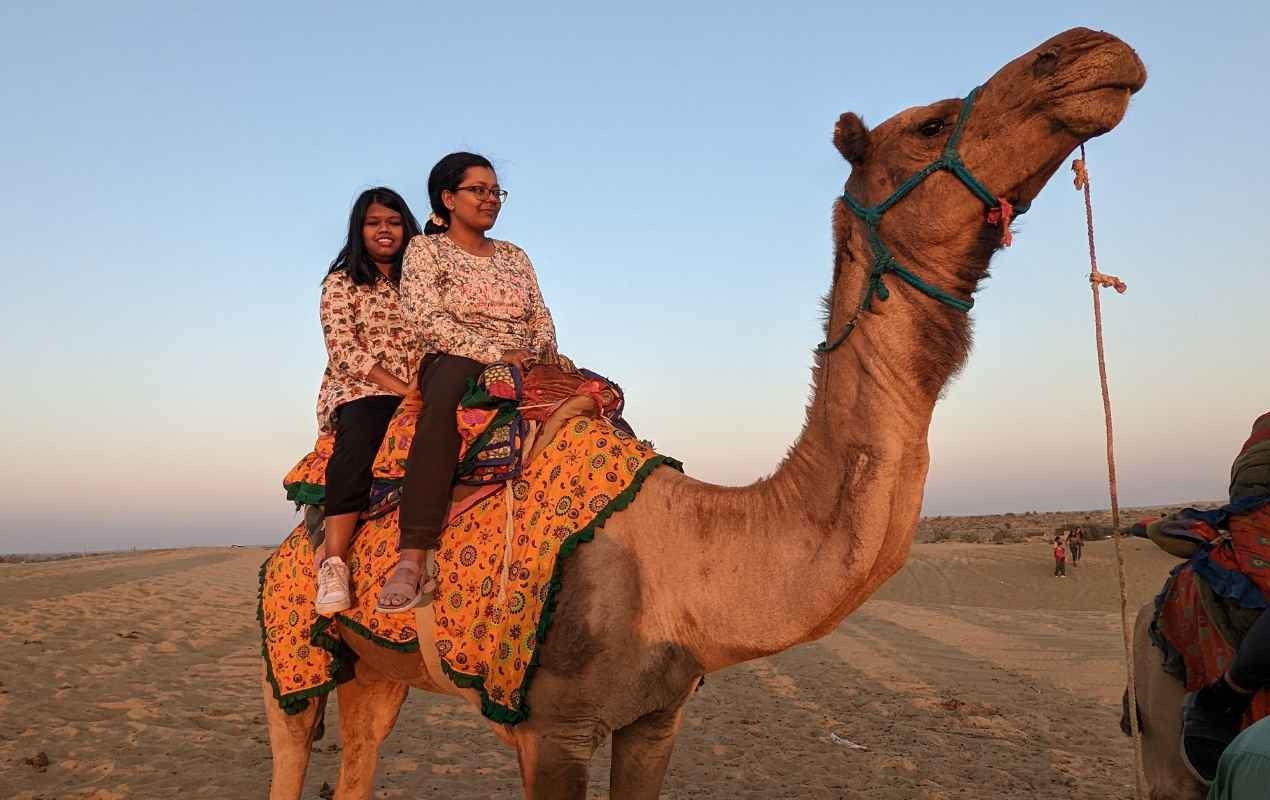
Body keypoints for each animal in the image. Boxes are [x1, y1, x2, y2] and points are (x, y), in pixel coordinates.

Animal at [262, 28, 1148, 797]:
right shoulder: (550, 726)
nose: (1088, 48)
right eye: (929, 124)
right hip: (292, 659)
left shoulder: (656, 718)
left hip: (376, 672)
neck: (683, 553)